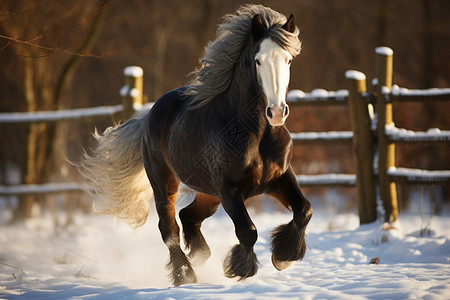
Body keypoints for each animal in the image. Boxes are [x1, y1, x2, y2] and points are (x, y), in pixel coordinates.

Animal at [79, 4, 312, 286]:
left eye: (288, 60)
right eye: (258, 60)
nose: (277, 112)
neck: (255, 134)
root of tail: (153, 112)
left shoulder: (279, 178)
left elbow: (304, 209)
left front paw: (284, 257)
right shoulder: (228, 189)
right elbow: (248, 231)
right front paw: (237, 268)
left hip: (208, 195)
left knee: (187, 216)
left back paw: (198, 256)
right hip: (166, 184)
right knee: (169, 228)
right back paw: (185, 275)